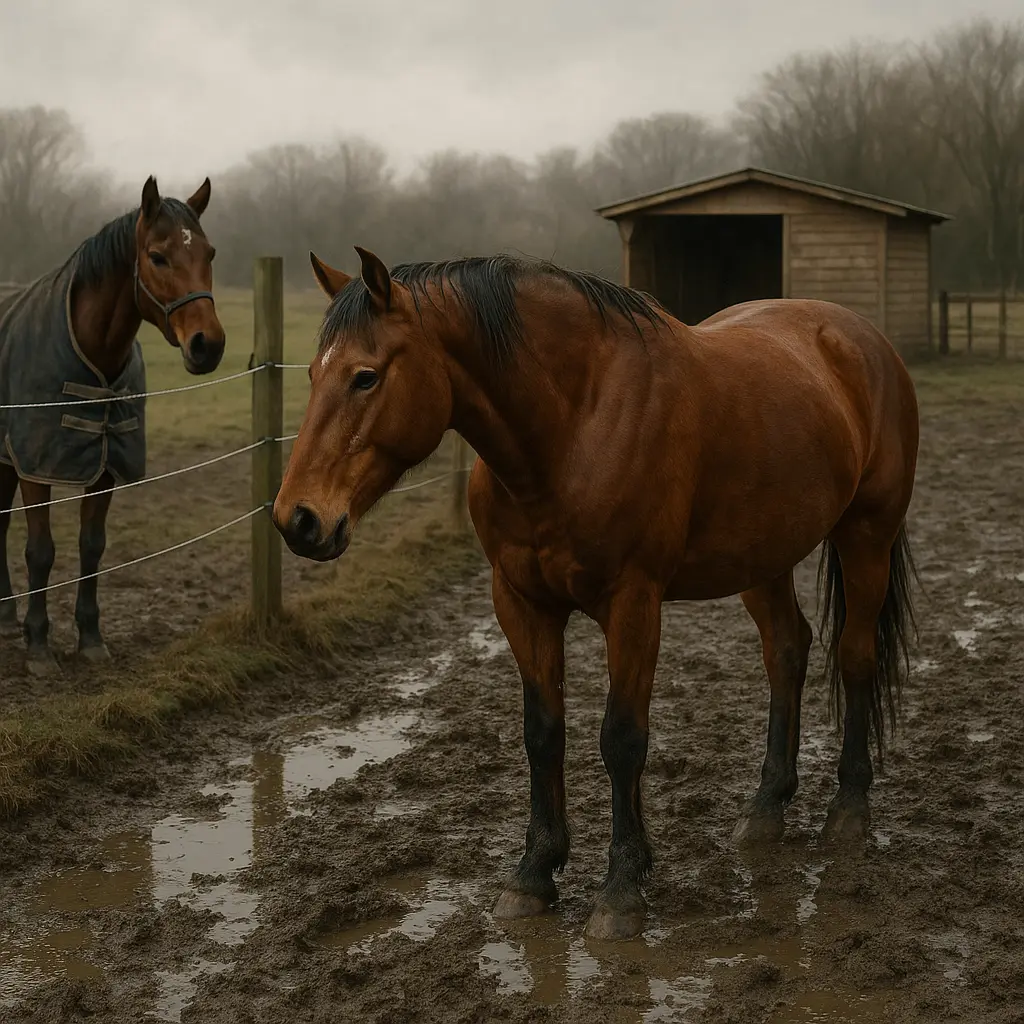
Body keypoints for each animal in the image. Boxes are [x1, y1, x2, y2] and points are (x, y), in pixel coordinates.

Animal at [0, 176, 224, 673]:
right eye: (157, 256)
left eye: (210, 253)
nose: (209, 345)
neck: (91, 351)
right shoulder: (35, 466)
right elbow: (40, 551)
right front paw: (39, 644)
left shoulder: (104, 467)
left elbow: (92, 546)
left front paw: (89, 637)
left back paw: (4, 615)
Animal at [273, 246, 918, 942]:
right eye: (313, 373)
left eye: (365, 377)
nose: (298, 520)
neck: (575, 424)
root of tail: (859, 338)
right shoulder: (521, 604)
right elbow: (542, 732)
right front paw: (535, 873)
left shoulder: (633, 604)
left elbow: (622, 739)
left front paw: (622, 889)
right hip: (763, 556)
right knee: (787, 650)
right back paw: (766, 809)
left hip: (867, 535)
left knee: (855, 656)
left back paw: (848, 811)